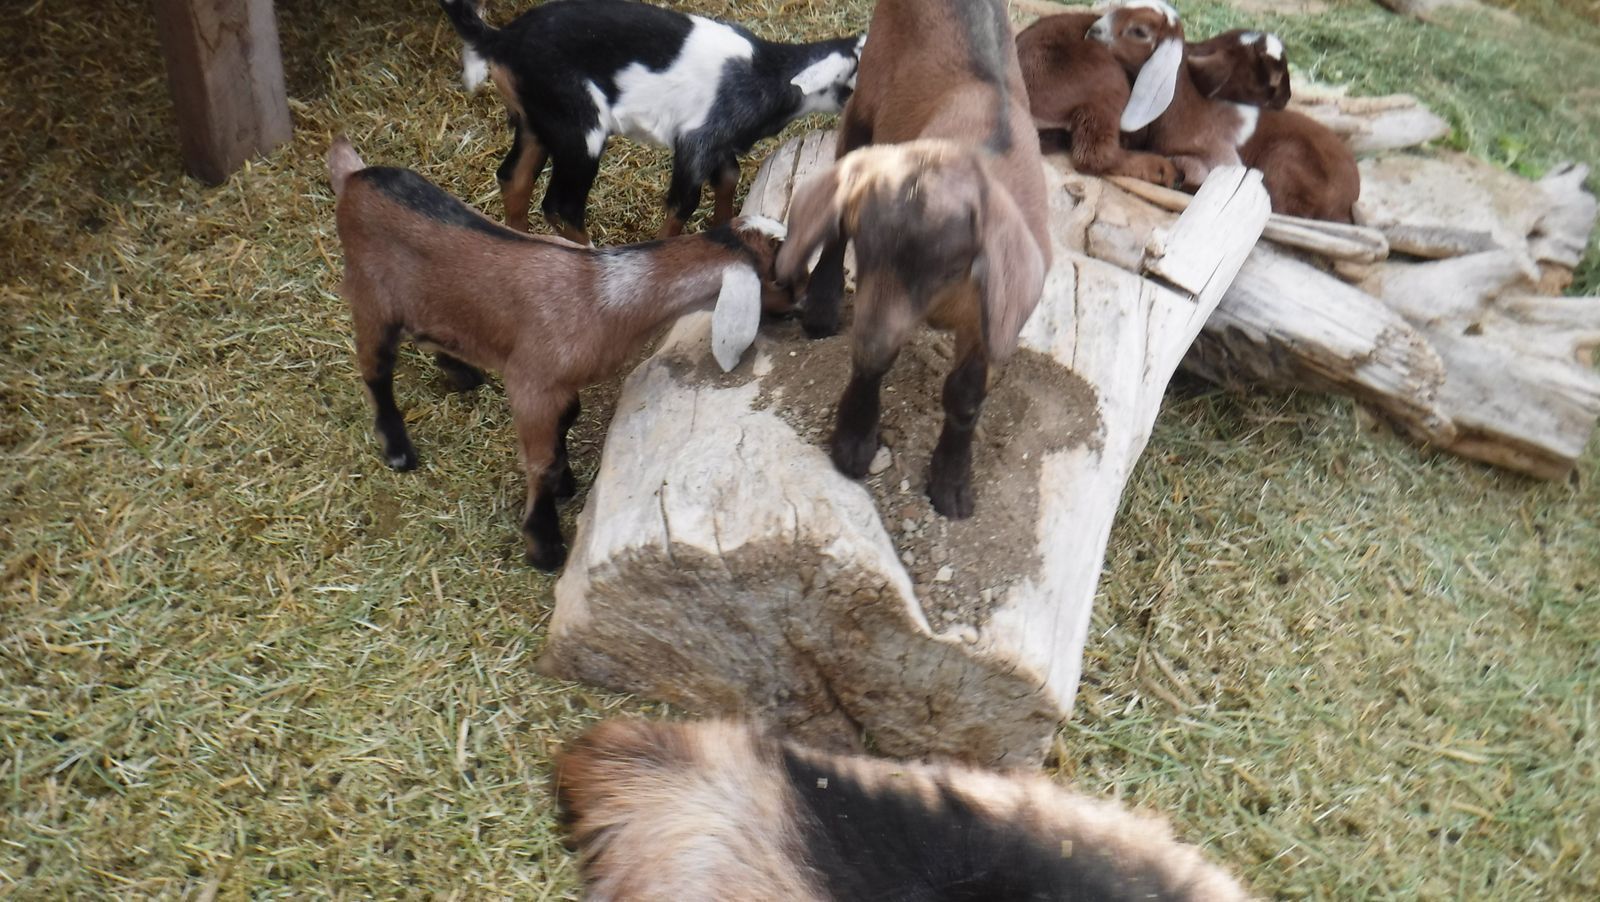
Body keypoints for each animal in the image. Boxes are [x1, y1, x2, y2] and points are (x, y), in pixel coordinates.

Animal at [327, 137, 788, 571]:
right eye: (781, 275)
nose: (805, 317)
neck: (603, 294)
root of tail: (353, 177)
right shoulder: (531, 383)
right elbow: (541, 462)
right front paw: (544, 544)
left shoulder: (562, 385)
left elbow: (567, 422)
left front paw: (566, 483)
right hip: (370, 295)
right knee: (374, 369)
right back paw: (398, 449)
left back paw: (460, 372)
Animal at [440, 0, 862, 244]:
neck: (765, 71)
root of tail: (500, 41)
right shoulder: (697, 138)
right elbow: (683, 202)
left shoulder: (719, 139)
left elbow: (728, 177)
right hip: (578, 121)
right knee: (561, 204)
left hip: (535, 119)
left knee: (514, 178)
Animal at [779, 0, 1051, 521]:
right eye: (867, 251)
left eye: (948, 267)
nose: (865, 346)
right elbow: (876, 354)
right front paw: (853, 440)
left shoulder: (992, 315)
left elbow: (965, 395)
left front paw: (952, 482)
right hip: (866, 97)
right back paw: (822, 304)